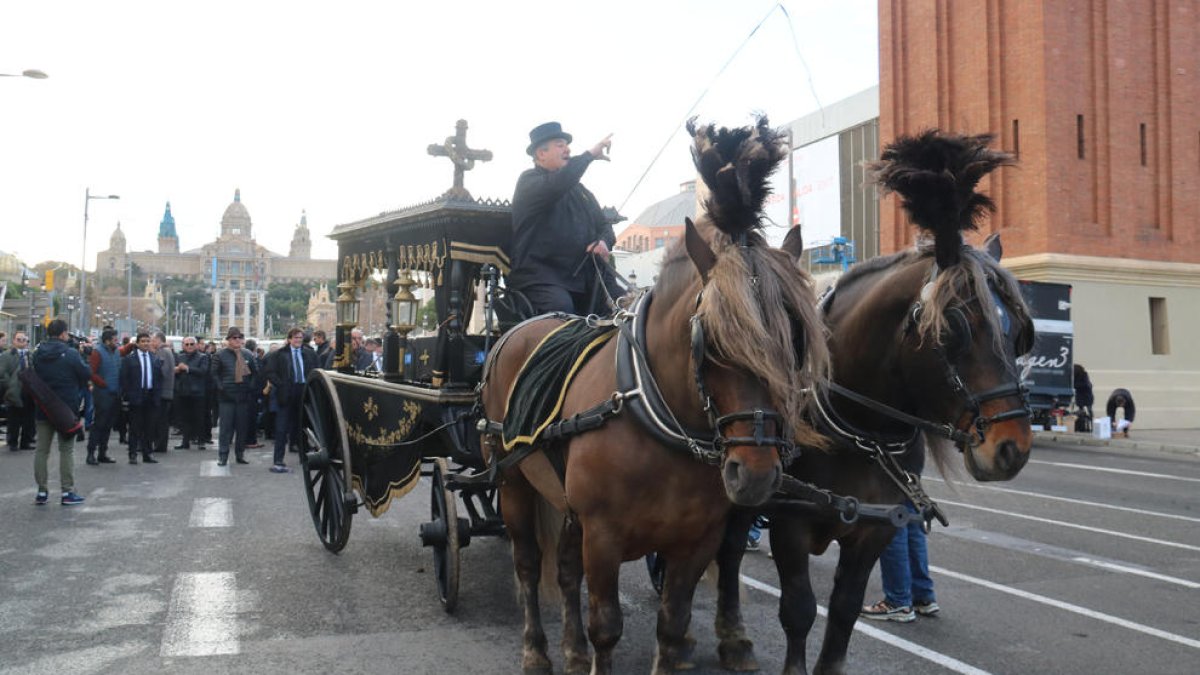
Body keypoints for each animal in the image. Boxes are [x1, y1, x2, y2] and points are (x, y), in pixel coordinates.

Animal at [475, 117, 825, 672]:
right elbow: (606, 627)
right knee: (528, 564)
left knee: (565, 570)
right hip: (512, 483)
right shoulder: (603, 536)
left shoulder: (695, 541)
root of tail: (513, 331)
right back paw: (537, 650)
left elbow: (672, 624)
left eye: (795, 337)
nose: (755, 473)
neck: (660, 419)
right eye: (711, 340)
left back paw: (571, 649)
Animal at [710, 128, 1041, 667]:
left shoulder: (875, 531)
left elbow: (843, 613)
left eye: (1019, 333)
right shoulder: (788, 524)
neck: (859, 429)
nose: (1012, 447)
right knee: (729, 551)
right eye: (953, 329)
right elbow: (798, 610)